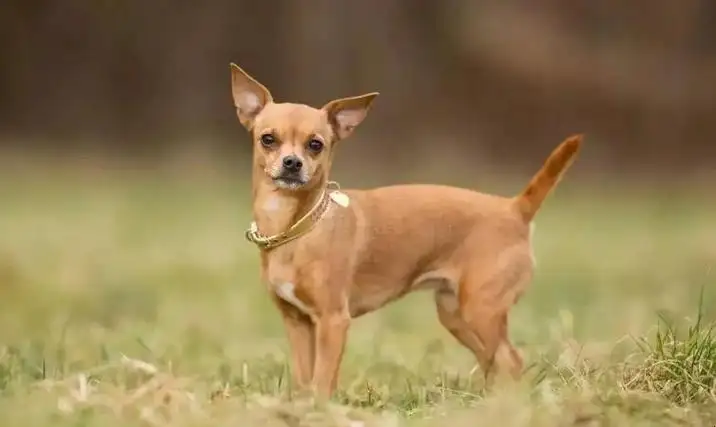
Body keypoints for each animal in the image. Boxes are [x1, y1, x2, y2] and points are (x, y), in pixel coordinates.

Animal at [229, 62, 580, 398]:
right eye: (268, 139)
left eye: (316, 145)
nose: (292, 163)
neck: (296, 227)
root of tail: (514, 208)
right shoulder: (298, 323)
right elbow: (305, 380)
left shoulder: (333, 321)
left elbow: (322, 382)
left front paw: (320, 409)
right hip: (457, 316)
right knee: (493, 362)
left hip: (481, 311)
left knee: (512, 361)